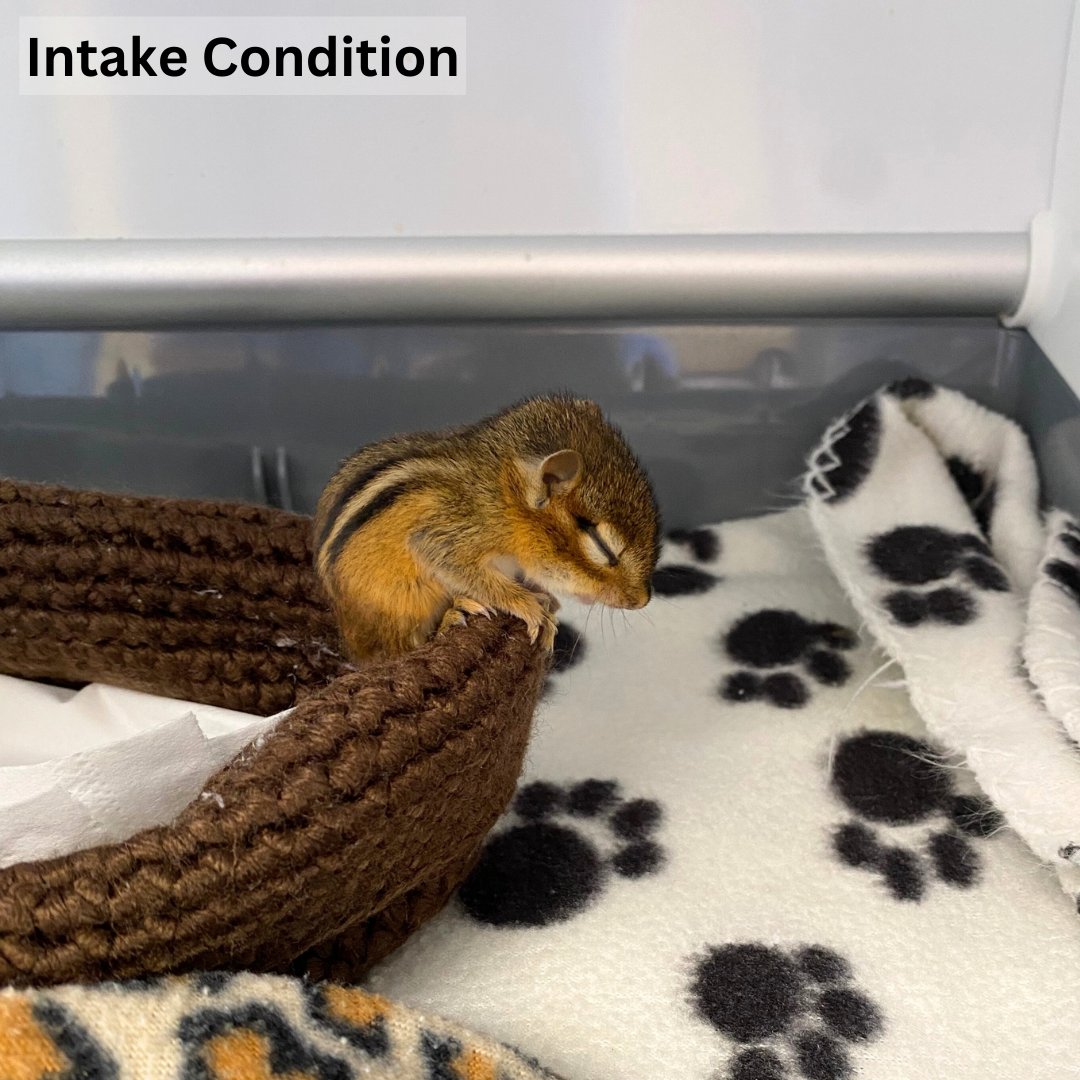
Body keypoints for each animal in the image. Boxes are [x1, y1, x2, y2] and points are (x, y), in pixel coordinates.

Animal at [313, 394, 660, 662]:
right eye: (601, 544)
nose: (643, 600)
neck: (506, 495)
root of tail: (352, 642)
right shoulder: (452, 532)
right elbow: (464, 569)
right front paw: (529, 605)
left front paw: (545, 596)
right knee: (402, 649)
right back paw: (451, 616)